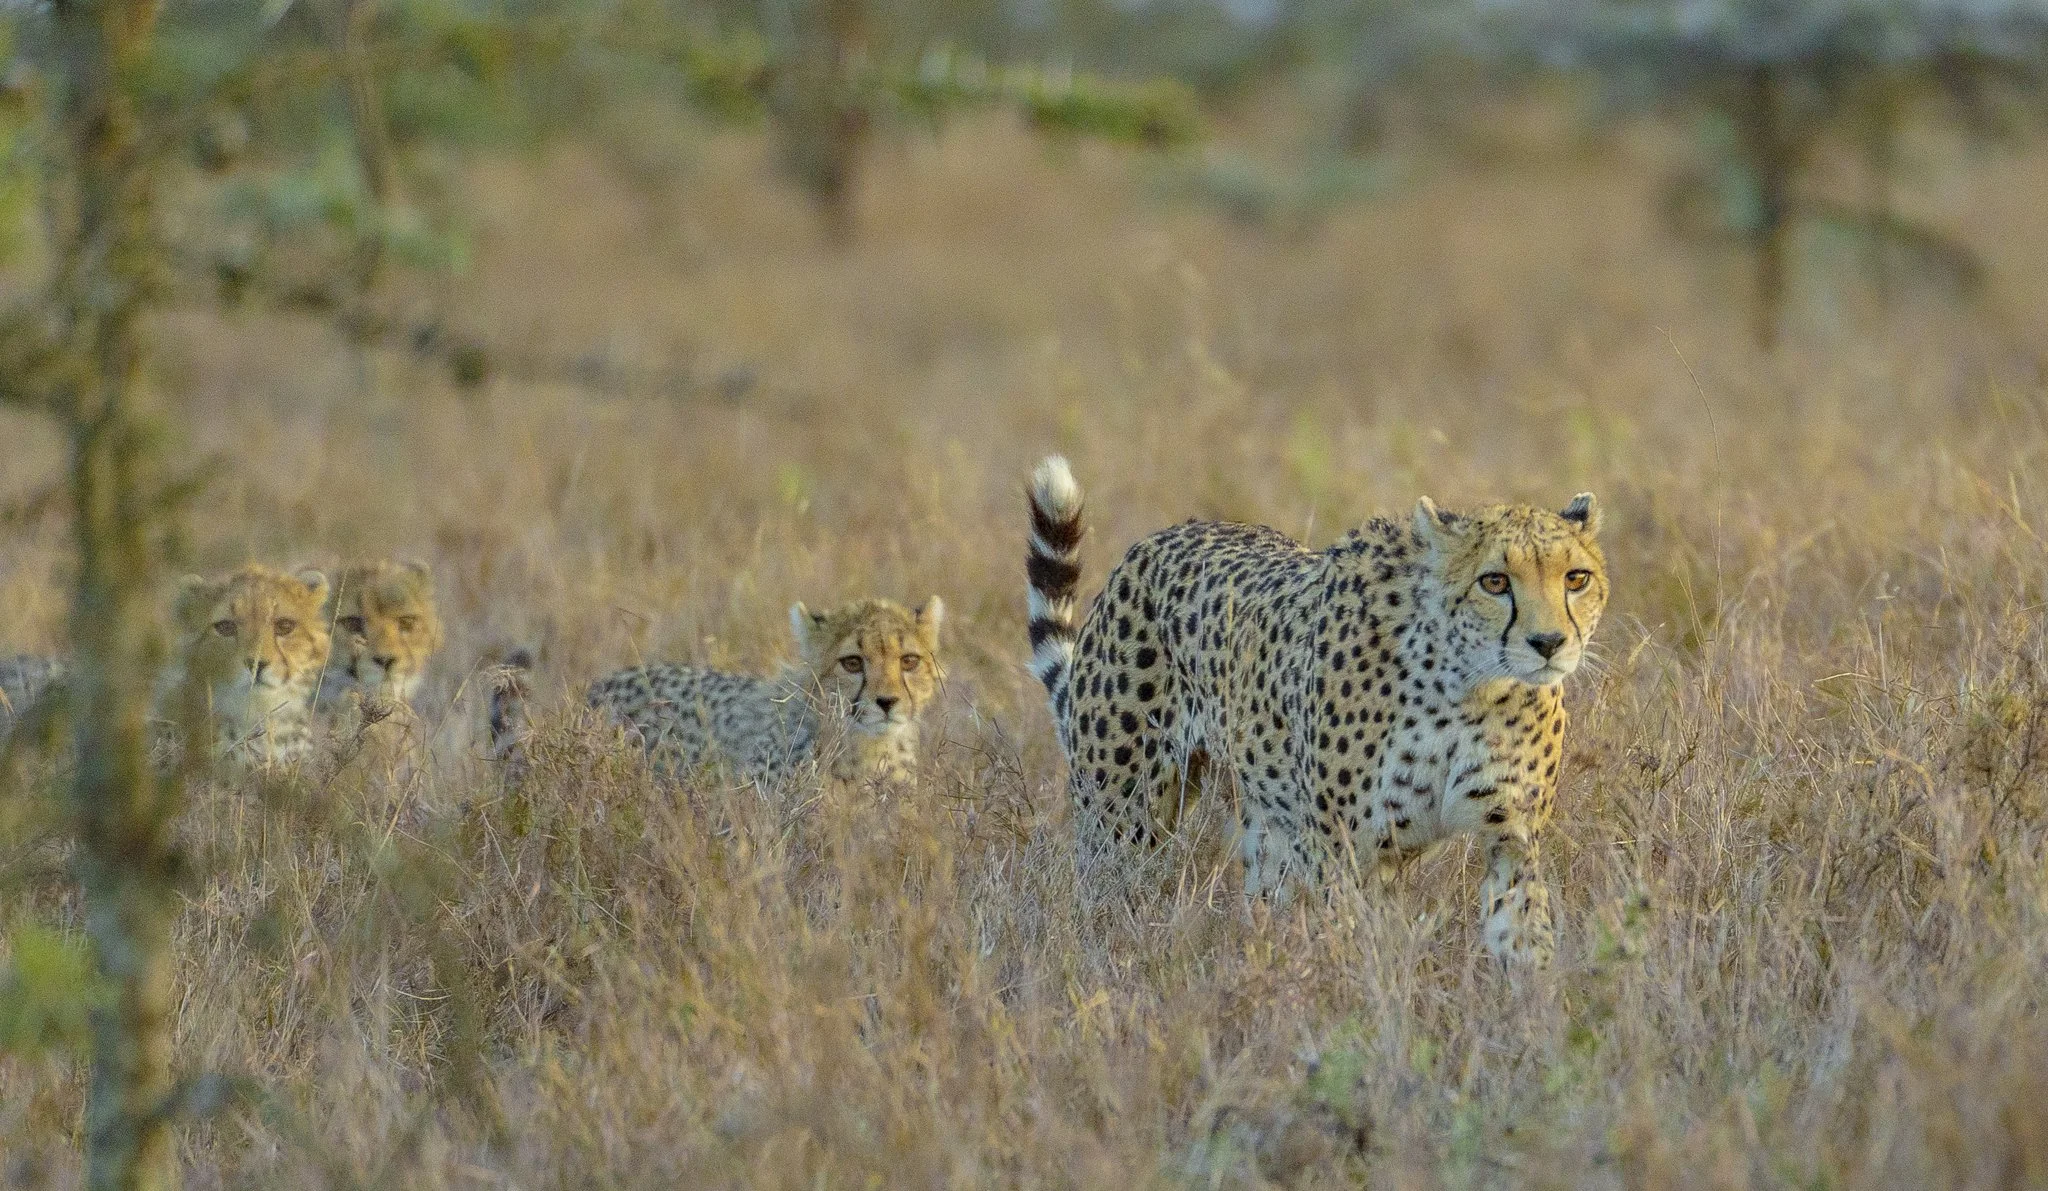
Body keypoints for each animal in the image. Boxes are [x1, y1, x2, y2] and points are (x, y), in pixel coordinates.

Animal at [1023, 455, 1608, 966]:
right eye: (1495, 581)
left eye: (1576, 578)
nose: (1549, 643)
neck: (1470, 688)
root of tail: (1154, 541)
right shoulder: (1346, 853)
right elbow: (1356, 951)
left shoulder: (1511, 837)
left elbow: (1524, 937)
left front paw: (1535, 1013)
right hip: (1124, 816)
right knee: (1104, 898)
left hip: (1268, 828)